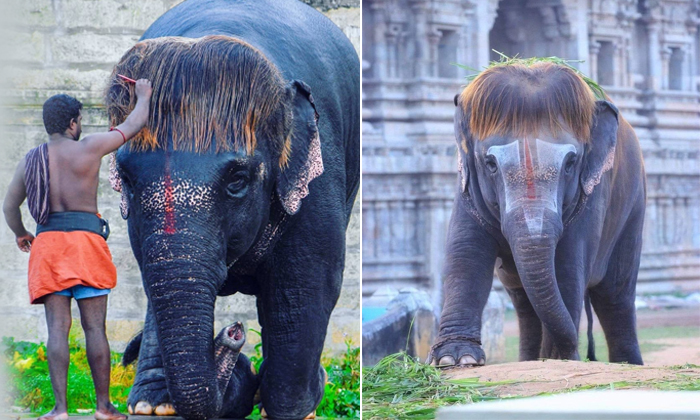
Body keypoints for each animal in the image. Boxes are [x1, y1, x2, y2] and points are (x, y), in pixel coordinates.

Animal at [104, 1, 359, 419]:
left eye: (237, 179)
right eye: (125, 177)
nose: (233, 332)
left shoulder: (319, 178)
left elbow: (306, 285)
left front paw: (291, 408)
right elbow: (152, 276)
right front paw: (153, 406)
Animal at [428, 62, 645, 368]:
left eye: (570, 163)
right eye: (490, 164)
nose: (577, 352)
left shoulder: (592, 195)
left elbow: (567, 265)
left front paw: (559, 359)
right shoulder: (466, 186)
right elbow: (465, 252)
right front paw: (455, 359)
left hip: (634, 207)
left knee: (615, 295)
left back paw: (625, 364)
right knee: (523, 301)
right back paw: (529, 359)